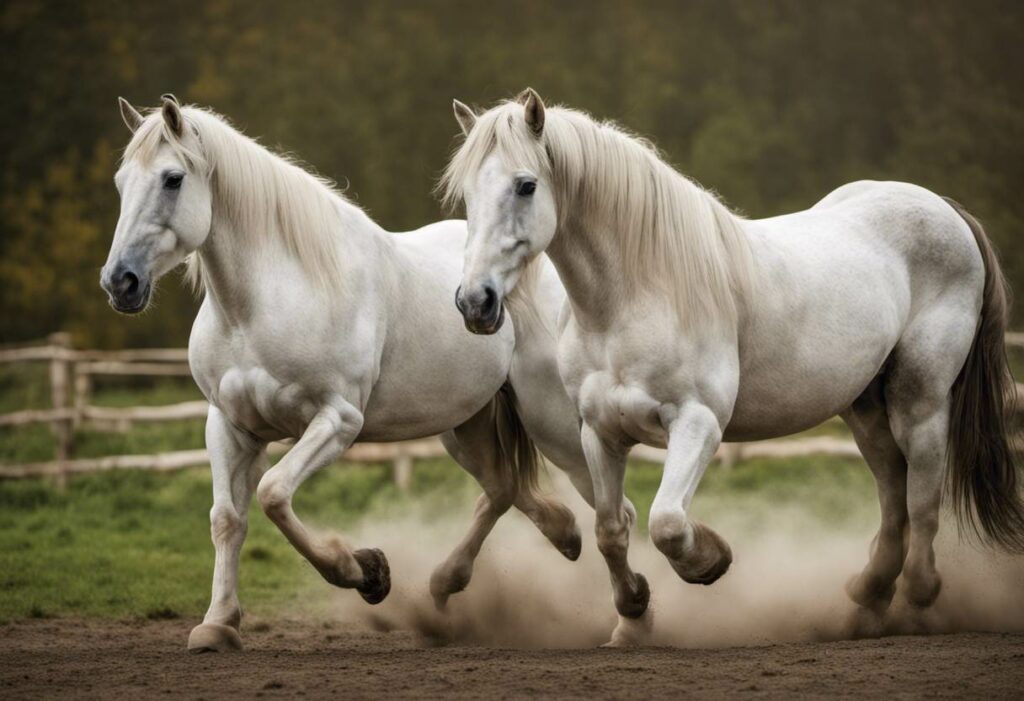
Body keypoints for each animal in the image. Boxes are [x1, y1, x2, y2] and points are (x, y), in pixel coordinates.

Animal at [102, 97, 598, 650]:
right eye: (121, 181)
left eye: (172, 179)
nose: (120, 282)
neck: (264, 303)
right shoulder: (230, 426)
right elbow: (227, 519)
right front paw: (218, 624)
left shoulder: (337, 421)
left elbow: (274, 494)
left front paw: (366, 572)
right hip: (464, 424)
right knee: (503, 489)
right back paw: (508, 556)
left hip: (550, 420)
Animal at [442, 89, 1024, 646]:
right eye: (467, 193)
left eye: (525, 185)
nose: (475, 303)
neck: (637, 296)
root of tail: (946, 210)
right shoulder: (599, 432)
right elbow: (611, 528)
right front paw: (632, 617)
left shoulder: (698, 423)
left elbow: (667, 523)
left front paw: (710, 560)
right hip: (865, 409)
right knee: (893, 494)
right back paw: (867, 599)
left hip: (920, 401)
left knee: (923, 496)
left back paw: (916, 604)